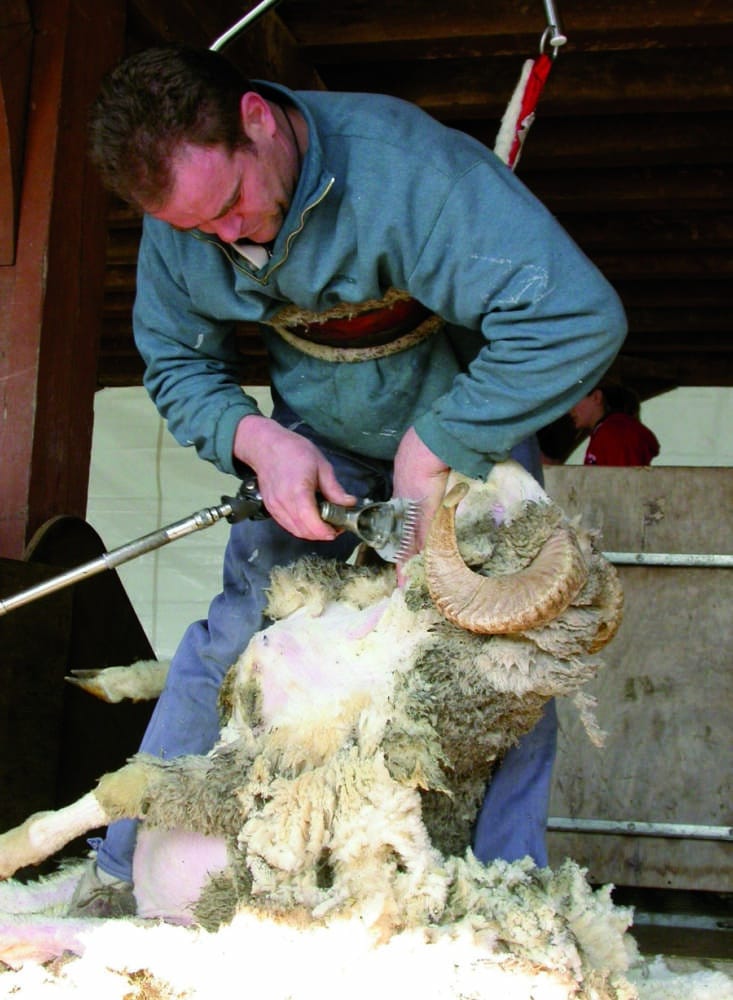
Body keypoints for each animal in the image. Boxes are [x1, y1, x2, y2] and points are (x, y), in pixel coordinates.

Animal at [0, 460, 632, 992]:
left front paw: (10, 846)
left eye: (507, 518)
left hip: (194, 934)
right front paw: (108, 680)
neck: (373, 643)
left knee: (58, 933)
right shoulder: (241, 691)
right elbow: (178, 670)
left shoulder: (257, 778)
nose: (496, 461)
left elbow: (125, 788)